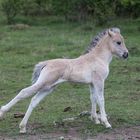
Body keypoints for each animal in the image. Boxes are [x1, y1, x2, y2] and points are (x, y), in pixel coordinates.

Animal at [0, 27, 129, 133]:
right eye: (118, 42)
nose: (126, 54)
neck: (98, 58)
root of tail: (46, 63)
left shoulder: (92, 84)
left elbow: (93, 98)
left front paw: (95, 120)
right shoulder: (99, 81)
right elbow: (101, 100)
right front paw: (106, 123)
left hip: (49, 88)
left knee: (34, 100)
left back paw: (22, 127)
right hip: (44, 83)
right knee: (24, 92)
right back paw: (3, 112)